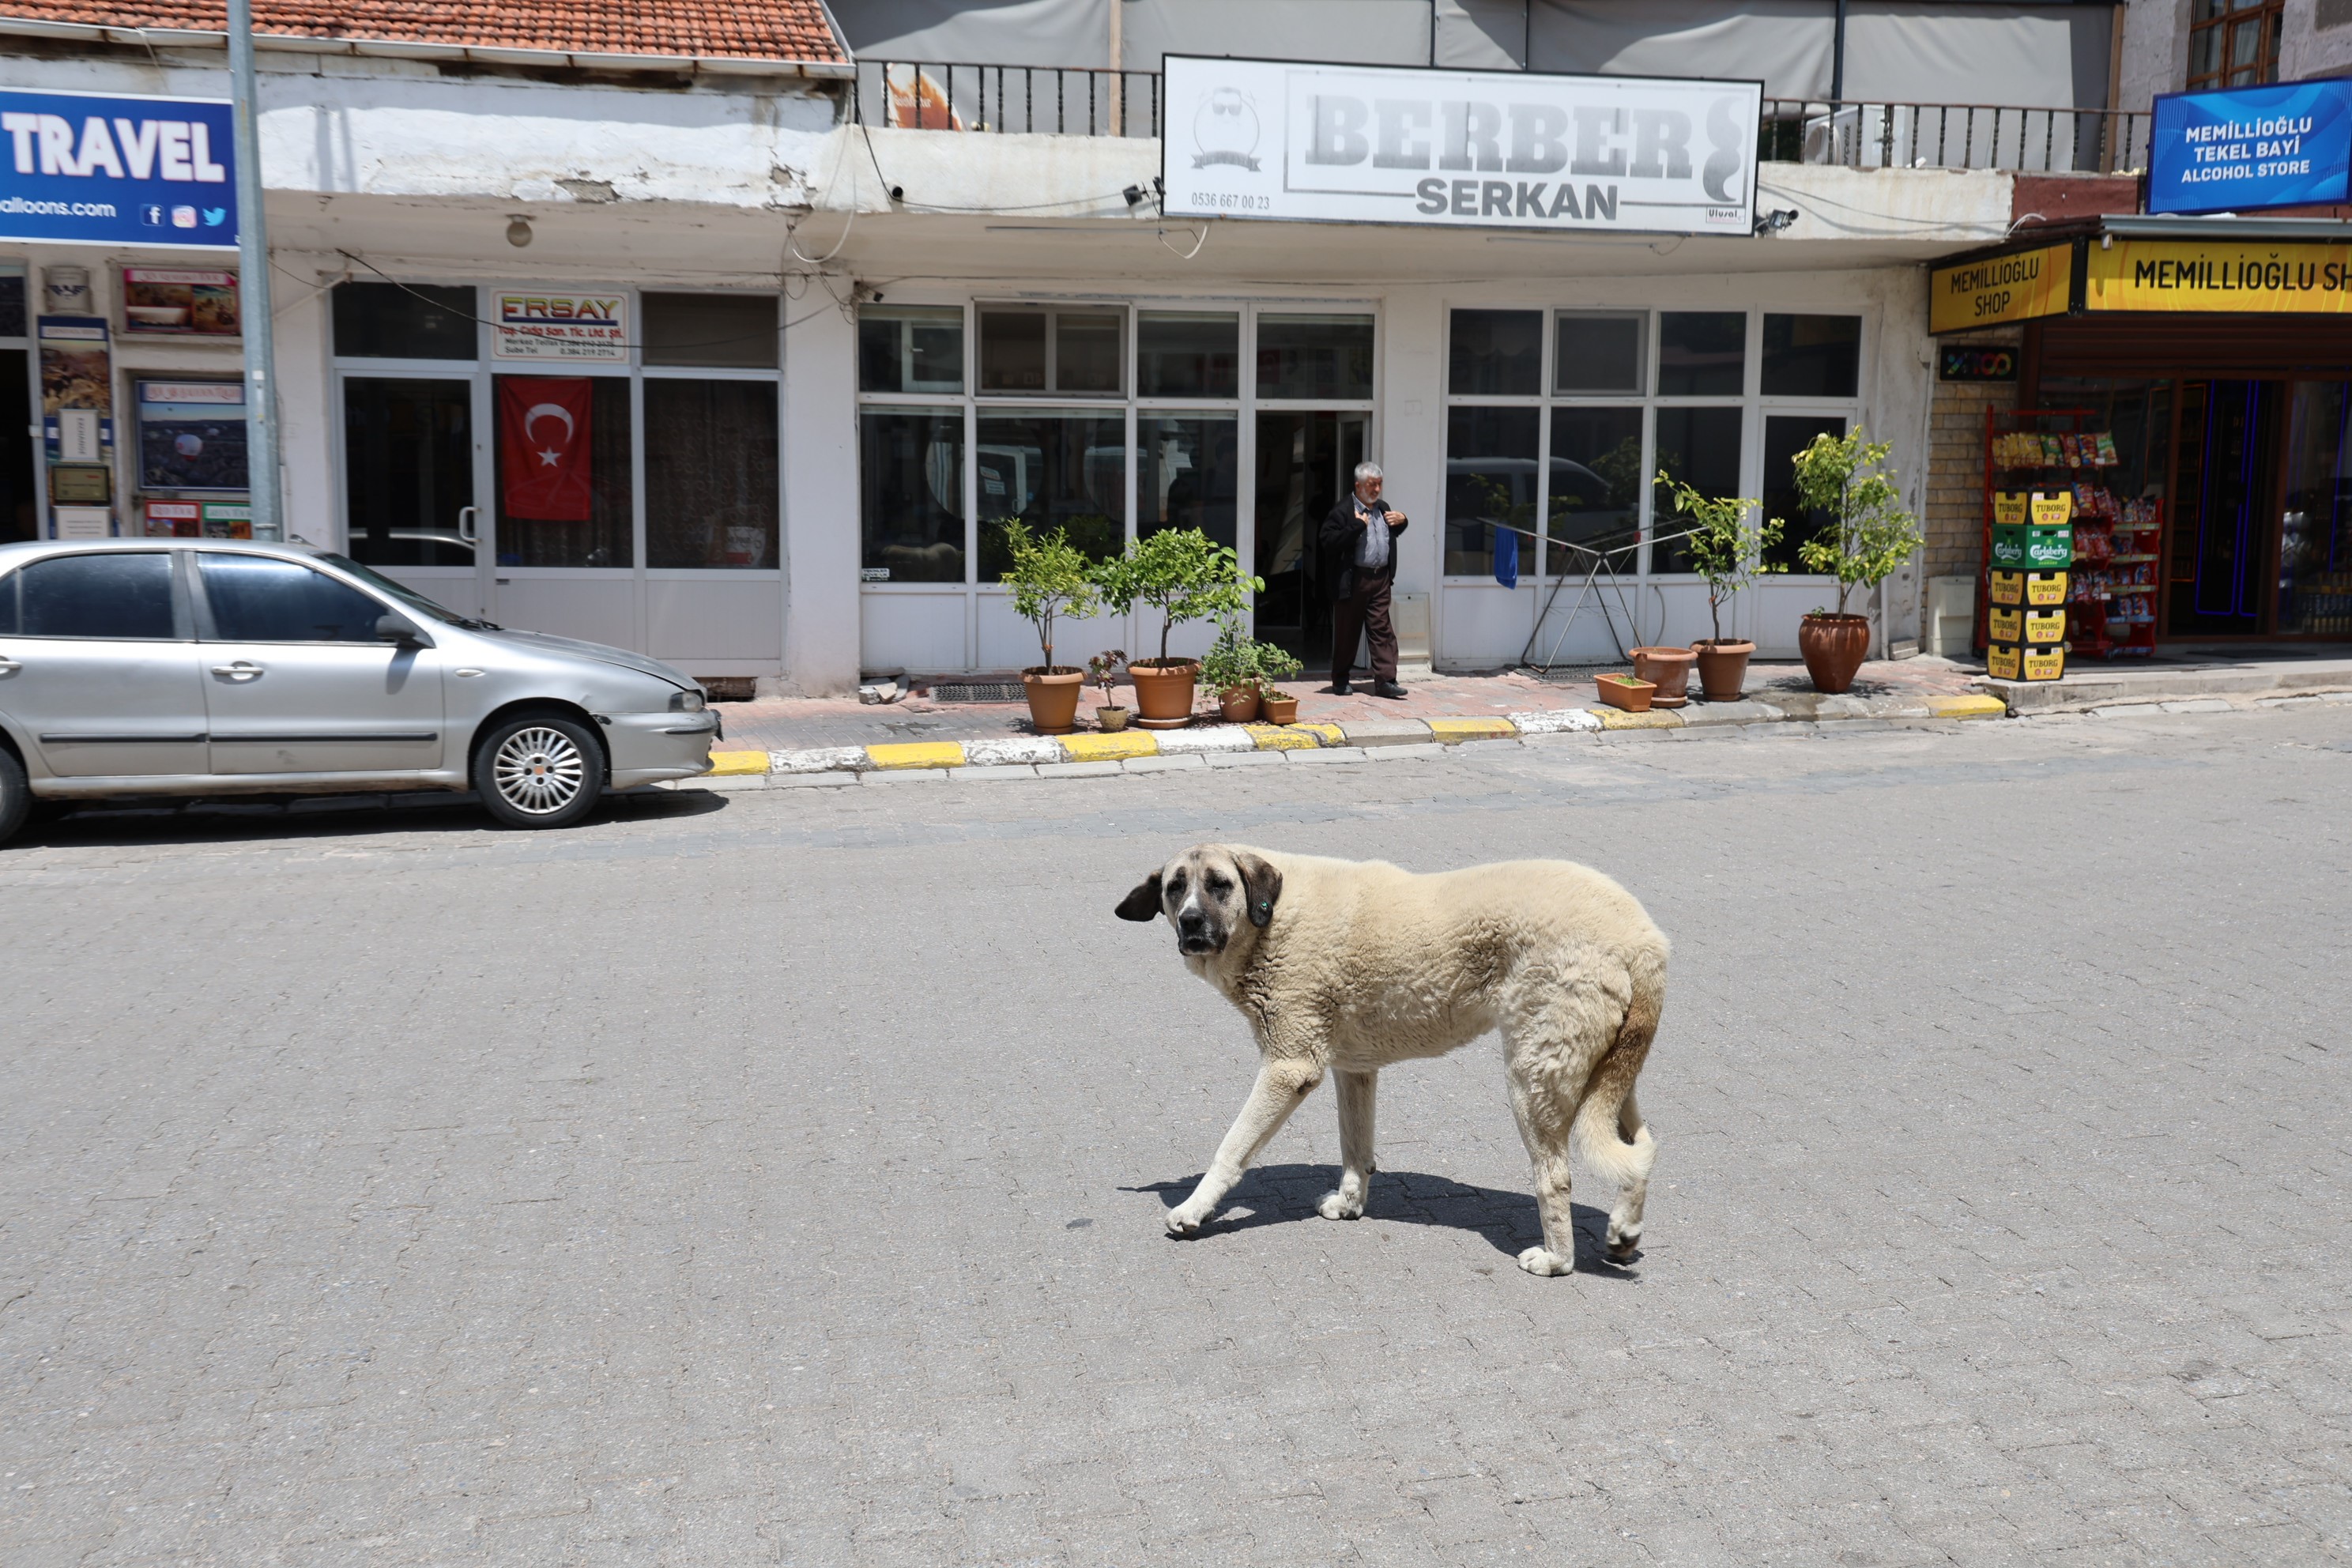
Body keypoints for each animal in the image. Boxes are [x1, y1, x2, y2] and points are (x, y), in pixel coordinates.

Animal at [1119, 846, 1674, 1279]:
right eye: (1175, 888)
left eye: (1219, 884)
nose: (1190, 922)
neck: (1271, 917)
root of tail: (1642, 938)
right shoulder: (1354, 1069)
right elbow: (1355, 1147)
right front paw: (1350, 1204)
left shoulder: (1288, 1068)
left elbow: (1231, 1149)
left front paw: (1193, 1209)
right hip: (1605, 1075)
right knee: (1642, 1147)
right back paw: (1624, 1230)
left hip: (1534, 1077)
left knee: (1555, 1177)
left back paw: (1557, 1260)